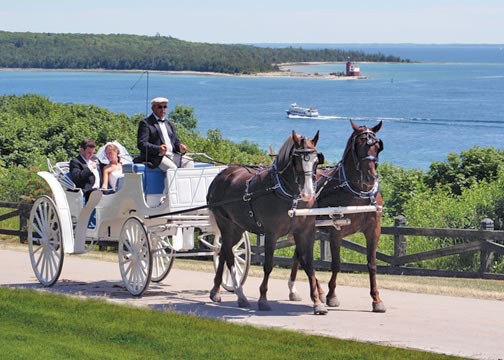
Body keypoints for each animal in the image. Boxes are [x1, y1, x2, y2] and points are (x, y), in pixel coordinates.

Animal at [208, 131, 328, 314]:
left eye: (316, 161)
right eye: (297, 160)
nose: (308, 194)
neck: (287, 194)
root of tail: (220, 176)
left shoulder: (305, 232)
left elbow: (309, 265)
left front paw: (317, 302)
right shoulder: (272, 233)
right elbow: (269, 265)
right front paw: (263, 299)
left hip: (237, 228)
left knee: (223, 252)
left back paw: (215, 291)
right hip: (226, 224)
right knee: (229, 257)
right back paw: (240, 294)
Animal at [288, 121, 386, 312]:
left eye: (378, 147)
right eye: (359, 145)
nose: (370, 177)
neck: (359, 191)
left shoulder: (374, 230)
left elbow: (372, 264)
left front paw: (377, 299)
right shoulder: (336, 231)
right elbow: (337, 263)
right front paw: (331, 295)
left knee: (299, 255)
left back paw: (295, 290)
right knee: (303, 257)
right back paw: (316, 291)